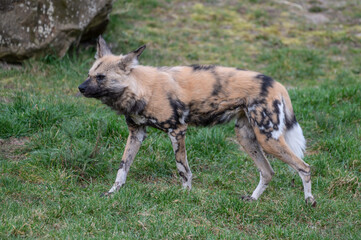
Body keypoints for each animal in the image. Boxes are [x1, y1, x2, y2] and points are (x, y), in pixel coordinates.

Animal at [78, 36, 316, 206]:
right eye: (89, 74)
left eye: (101, 77)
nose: (80, 88)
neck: (141, 89)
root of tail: (276, 83)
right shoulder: (136, 133)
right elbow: (123, 168)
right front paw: (113, 192)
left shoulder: (177, 131)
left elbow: (183, 169)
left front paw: (185, 196)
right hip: (247, 137)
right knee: (268, 172)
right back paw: (253, 199)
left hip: (268, 139)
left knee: (304, 167)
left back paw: (309, 200)